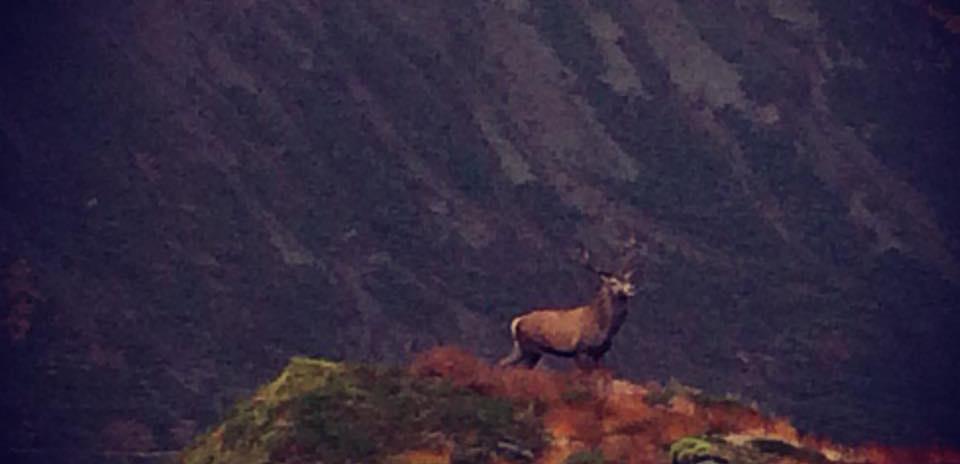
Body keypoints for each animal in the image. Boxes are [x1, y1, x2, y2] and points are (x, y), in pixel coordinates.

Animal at [498, 239, 640, 370]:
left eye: (628, 280)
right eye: (613, 282)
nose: (631, 289)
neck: (603, 327)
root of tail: (516, 322)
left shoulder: (599, 354)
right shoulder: (580, 350)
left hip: (520, 348)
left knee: (502, 362)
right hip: (531, 349)